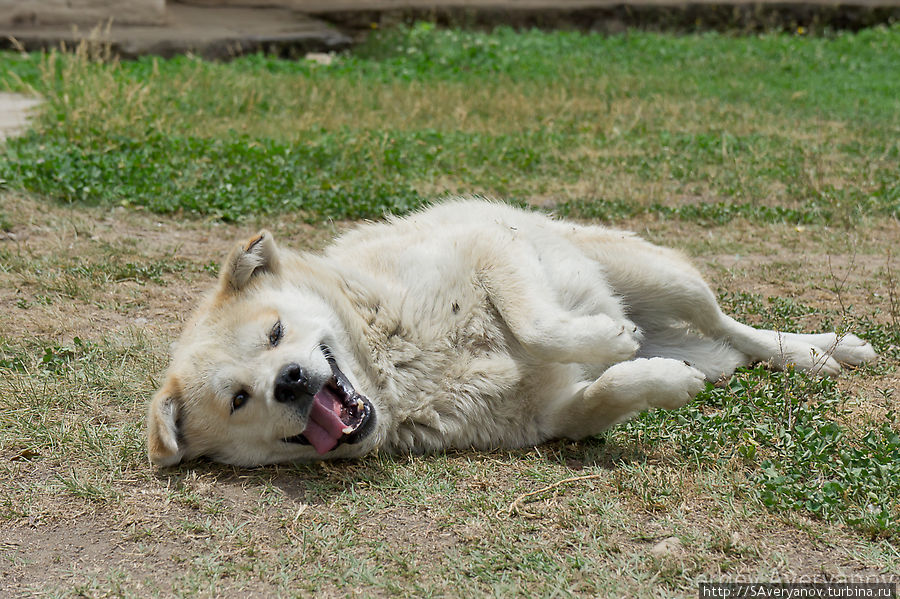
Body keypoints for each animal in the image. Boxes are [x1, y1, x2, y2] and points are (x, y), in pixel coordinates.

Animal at [148, 199, 880, 466]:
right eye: (239, 399)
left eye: (276, 333)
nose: (293, 381)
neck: (393, 369)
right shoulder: (551, 416)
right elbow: (600, 398)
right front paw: (661, 380)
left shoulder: (487, 246)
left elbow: (537, 323)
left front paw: (606, 338)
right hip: (690, 330)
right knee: (726, 349)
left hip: (663, 277)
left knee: (737, 326)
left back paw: (824, 351)